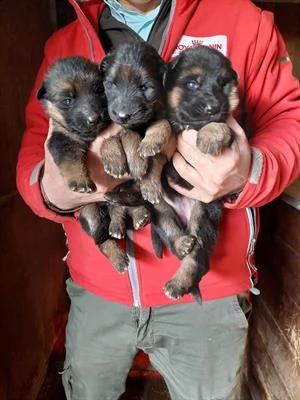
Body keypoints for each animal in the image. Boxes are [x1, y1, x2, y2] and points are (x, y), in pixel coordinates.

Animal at [37, 56, 150, 274]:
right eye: (68, 100)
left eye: (99, 90)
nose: (94, 118)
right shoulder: (61, 139)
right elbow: (70, 160)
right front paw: (80, 181)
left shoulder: (113, 128)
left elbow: (109, 140)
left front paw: (113, 159)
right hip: (90, 212)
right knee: (102, 238)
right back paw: (117, 255)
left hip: (129, 189)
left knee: (126, 205)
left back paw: (138, 215)